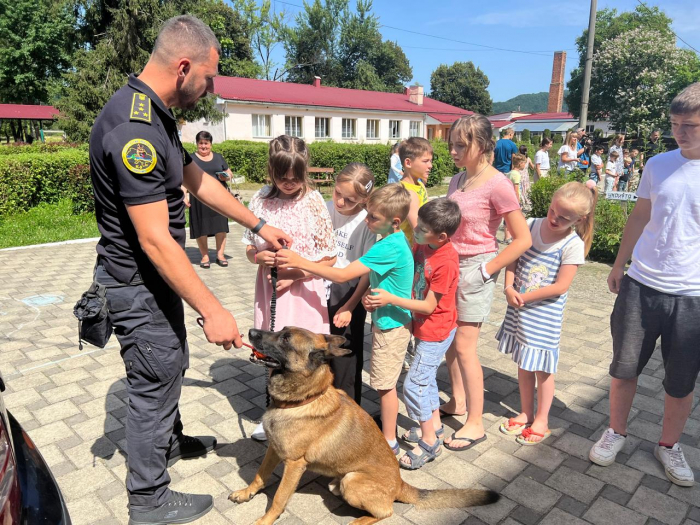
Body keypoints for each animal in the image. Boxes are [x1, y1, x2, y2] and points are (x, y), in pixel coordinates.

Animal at [228, 328, 498, 524]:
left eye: (285, 338)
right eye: (280, 329)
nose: (250, 331)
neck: (301, 401)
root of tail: (400, 484)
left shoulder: (294, 465)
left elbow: (279, 497)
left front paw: (264, 520)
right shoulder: (273, 449)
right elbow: (260, 475)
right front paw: (246, 493)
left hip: (352, 480)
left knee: (386, 512)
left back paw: (358, 522)